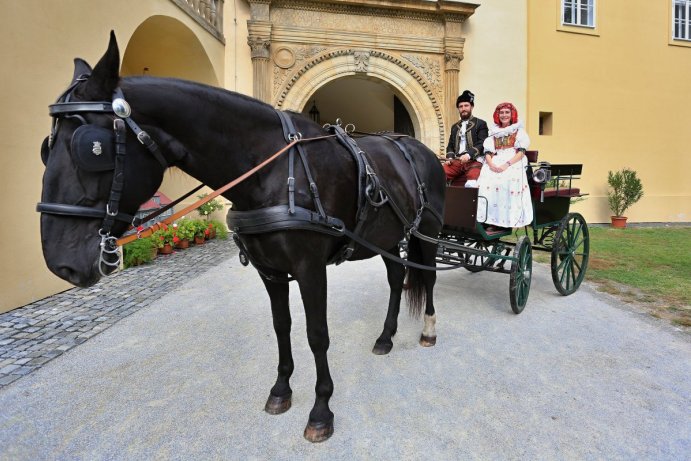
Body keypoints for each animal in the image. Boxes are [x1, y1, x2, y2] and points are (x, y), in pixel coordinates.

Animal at [39, 32, 444, 442]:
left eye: (91, 148)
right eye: (45, 149)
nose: (61, 264)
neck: (274, 170)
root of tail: (418, 148)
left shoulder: (311, 268)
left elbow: (317, 333)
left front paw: (321, 410)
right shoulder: (270, 270)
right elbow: (282, 327)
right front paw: (281, 390)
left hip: (427, 233)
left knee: (427, 277)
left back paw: (427, 330)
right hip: (390, 238)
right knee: (396, 278)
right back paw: (386, 337)